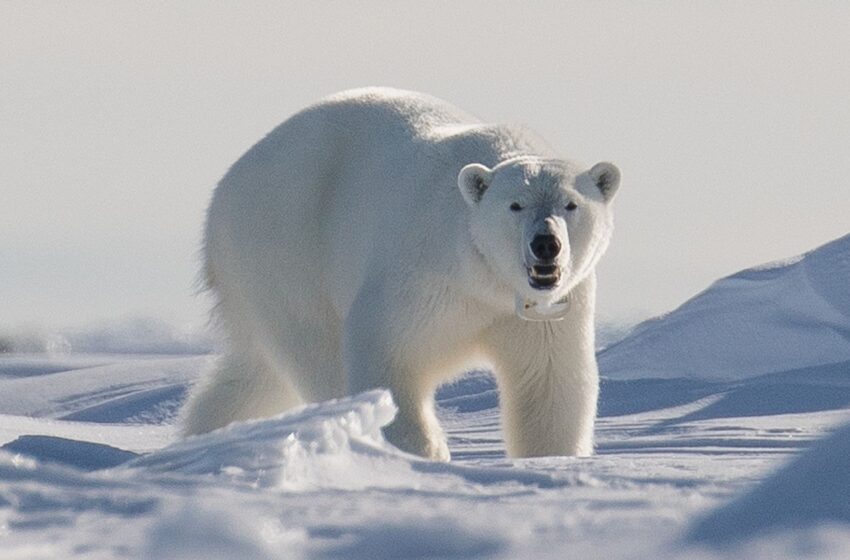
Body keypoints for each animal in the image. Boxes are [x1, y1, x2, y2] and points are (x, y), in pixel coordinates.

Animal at [182, 87, 616, 460]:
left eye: (570, 204)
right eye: (515, 205)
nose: (546, 244)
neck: (485, 278)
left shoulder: (546, 310)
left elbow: (548, 384)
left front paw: (551, 458)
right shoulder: (422, 274)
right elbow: (388, 354)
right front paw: (425, 451)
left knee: (254, 375)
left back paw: (204, 434)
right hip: (285, 250)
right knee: (318, 352)